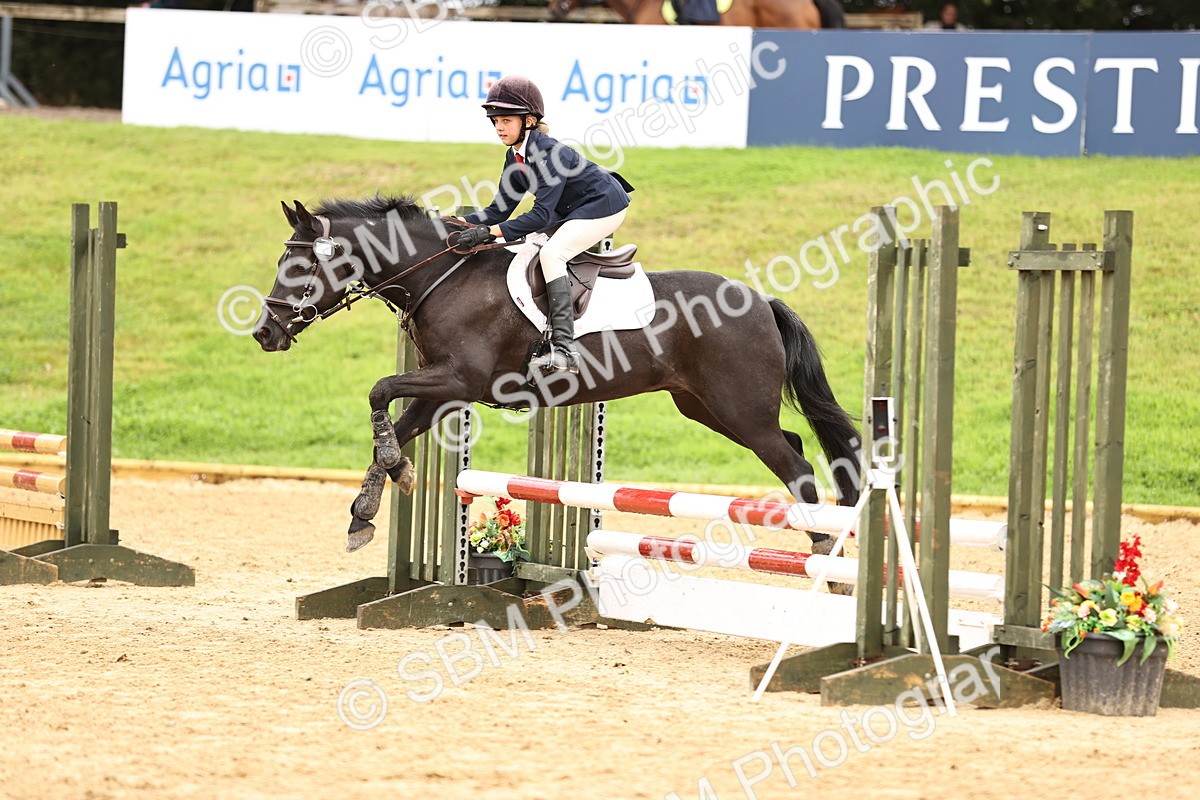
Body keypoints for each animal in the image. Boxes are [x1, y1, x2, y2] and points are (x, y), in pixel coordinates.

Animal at [255, 196, 862, 560]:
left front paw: (388, 480)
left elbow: (378, 390)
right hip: (707, 408)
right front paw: (368, 510)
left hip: (739, 409)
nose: (265, 333)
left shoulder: (457, 381)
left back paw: (822, 554)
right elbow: (390, 427)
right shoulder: (440, 390)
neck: (441, 276)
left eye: (300, 266)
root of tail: (760, 300)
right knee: (794, 443)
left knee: (797, 465)